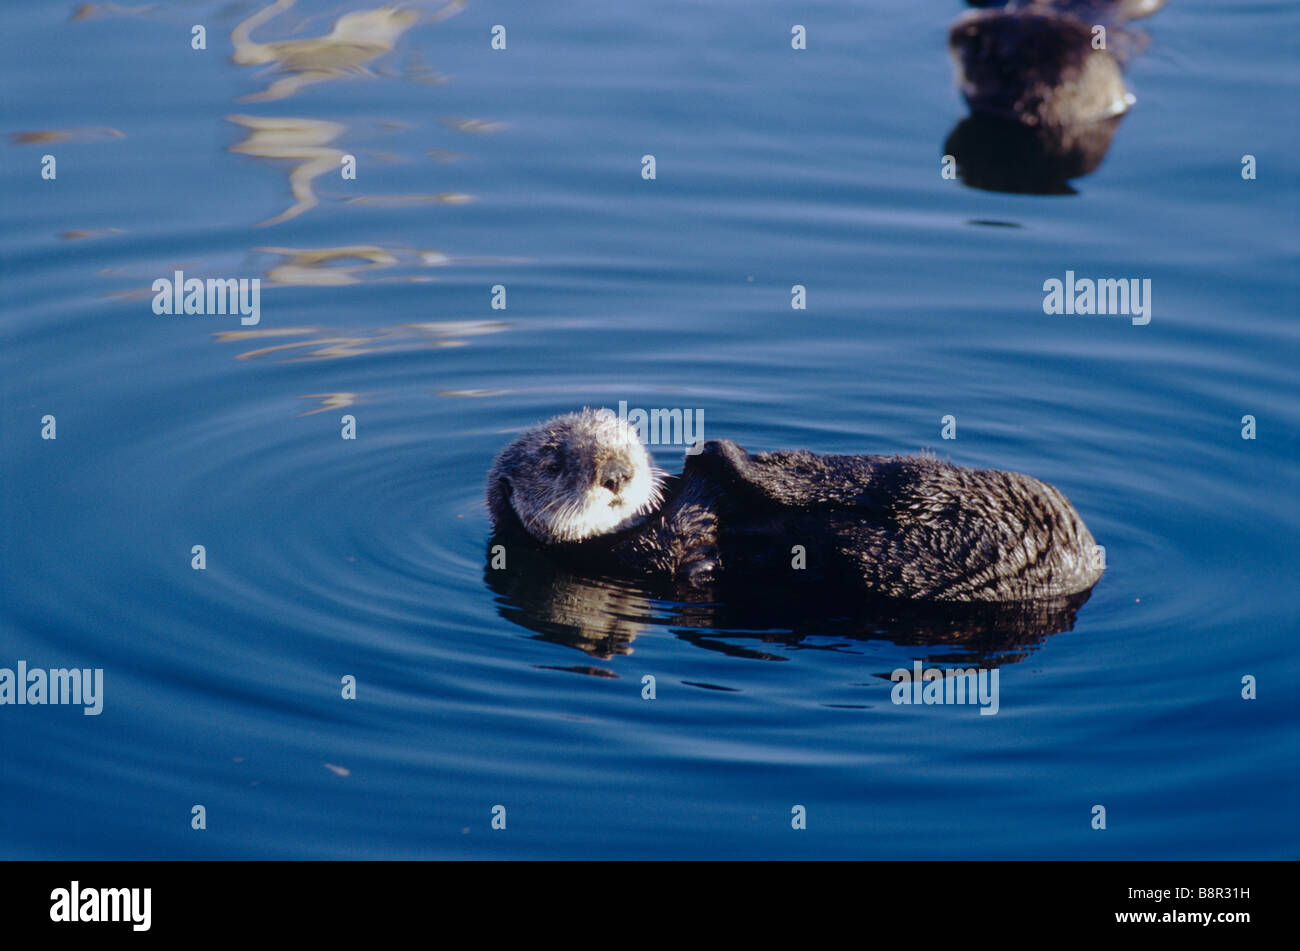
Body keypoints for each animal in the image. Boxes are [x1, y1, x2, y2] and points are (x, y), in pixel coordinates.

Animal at [486, 409, 1103, 603]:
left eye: (624, 439)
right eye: (553, 462)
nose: (617, 473)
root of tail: (1082, 558)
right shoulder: (641, 557)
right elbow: (690, 556)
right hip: (932, 512)